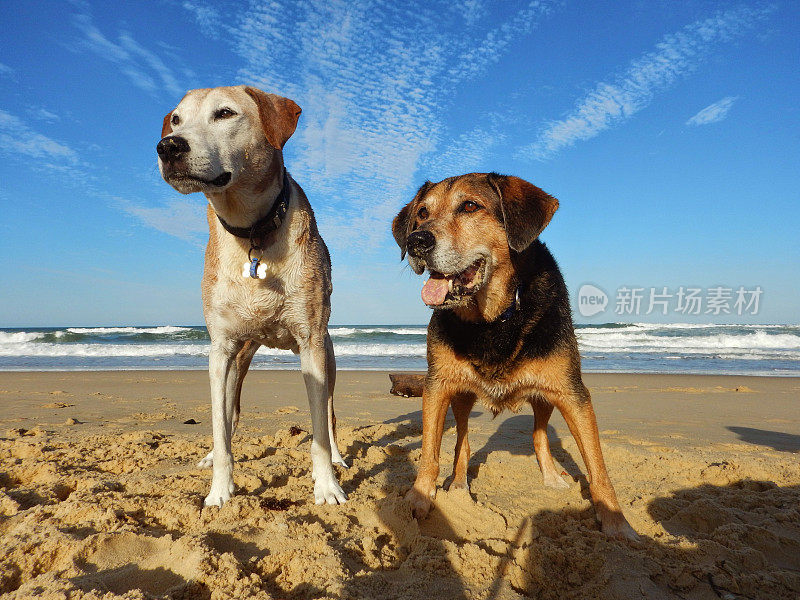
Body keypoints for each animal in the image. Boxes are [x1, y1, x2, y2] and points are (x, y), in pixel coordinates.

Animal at [394, 172, 636, 540]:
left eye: (470, 206)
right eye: (421, 213)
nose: (415, 241)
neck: (493, 319)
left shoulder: (572, 392)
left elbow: (597, 466)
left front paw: (616, 522)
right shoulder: (437, 386)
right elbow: (429, 454)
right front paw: (418, 499)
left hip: (544, 395)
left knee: (538, 435)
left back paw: (551, 476)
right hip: (461, 395)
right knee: (462, 442)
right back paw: (459, 486)